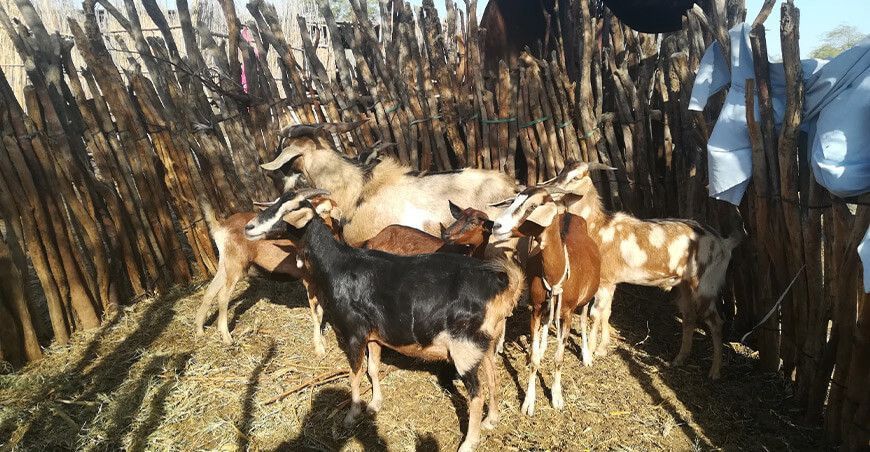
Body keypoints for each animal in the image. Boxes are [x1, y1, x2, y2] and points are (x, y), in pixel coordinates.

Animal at [194, 189, 337, 353]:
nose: (250, 227)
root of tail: (222, 227)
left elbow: (321, 309)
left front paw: (322, 340)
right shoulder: (309, 280)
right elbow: (316, 313)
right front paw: (319, 347)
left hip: (226, 264)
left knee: (210, 290)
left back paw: (199, 330)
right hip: (236, 265)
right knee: (223, 295)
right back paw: (226, 337)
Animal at [244, 190, 525, 452]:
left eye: (289, 210)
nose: (249, 227)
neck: (338, 265)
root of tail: (501, 286)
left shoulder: (354, 333)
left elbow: (355, 373)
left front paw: (352, 414)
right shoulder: (374, 336)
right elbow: (373, 368)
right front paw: (374, 404)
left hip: (464, 348)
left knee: (476, 394)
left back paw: (469, 442)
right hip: (485, 343)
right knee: (492, 376)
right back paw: (492, 419)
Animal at [489, 187, 601, 414]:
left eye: (532, 206)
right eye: (514, 201)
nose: (497, 226)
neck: (556, 273)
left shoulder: (566, 313)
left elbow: (559, 358)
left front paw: (556, 397)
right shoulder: (536, 309)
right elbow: (533, 359)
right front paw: (529, 402)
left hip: (586, 299)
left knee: (584, 319)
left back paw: (586, 355)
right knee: (544, 329)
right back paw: (541, 347)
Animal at [543, 160, 744, 379]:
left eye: (576, 178)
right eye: (561, 172)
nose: (550, 189)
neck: (599, 228)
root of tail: (724, 243)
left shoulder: (604, 281)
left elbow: (595, 314)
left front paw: (593, 351)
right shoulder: (611, 282)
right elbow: (607, 312)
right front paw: (603, 347)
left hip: (706, 285)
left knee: (716, 322)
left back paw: (714, 371)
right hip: (685, 285)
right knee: (689, 318)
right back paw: (679, 359)